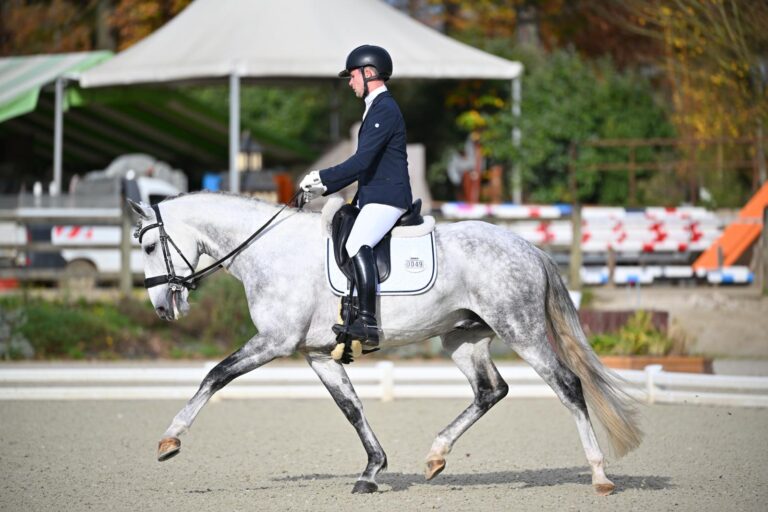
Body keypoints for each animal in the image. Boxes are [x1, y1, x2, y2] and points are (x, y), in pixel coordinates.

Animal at [128, 191, 642, 495]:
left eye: (150, 247)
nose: (161, 307)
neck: (268, 249)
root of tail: (529, 247)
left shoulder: (274, 341)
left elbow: (215, 375)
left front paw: (170, 439)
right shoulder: (317, 355)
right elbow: (352, 408)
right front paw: (372, 470)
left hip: (521, 329)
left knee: (567, 385)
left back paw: (599, 475)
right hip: (462, 337)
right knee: (490, 390)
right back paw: (436, 455)